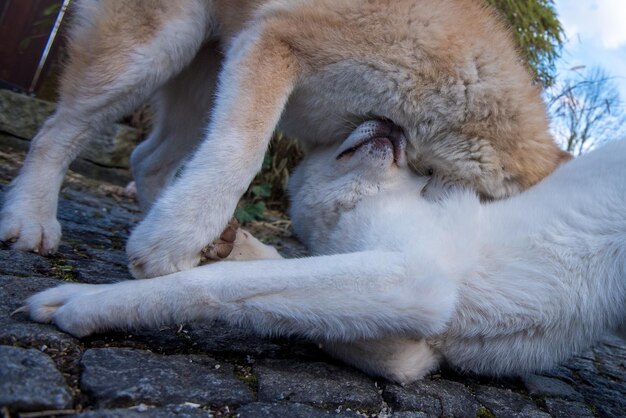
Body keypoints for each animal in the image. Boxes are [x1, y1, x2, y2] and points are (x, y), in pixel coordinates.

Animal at [22, 120, 620, 382]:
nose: (392, 119)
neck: (361, 201)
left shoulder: (413, 279)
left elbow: (212, 285)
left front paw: (88, 301)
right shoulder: (407, 347)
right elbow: (281, 278)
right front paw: (231, 242)